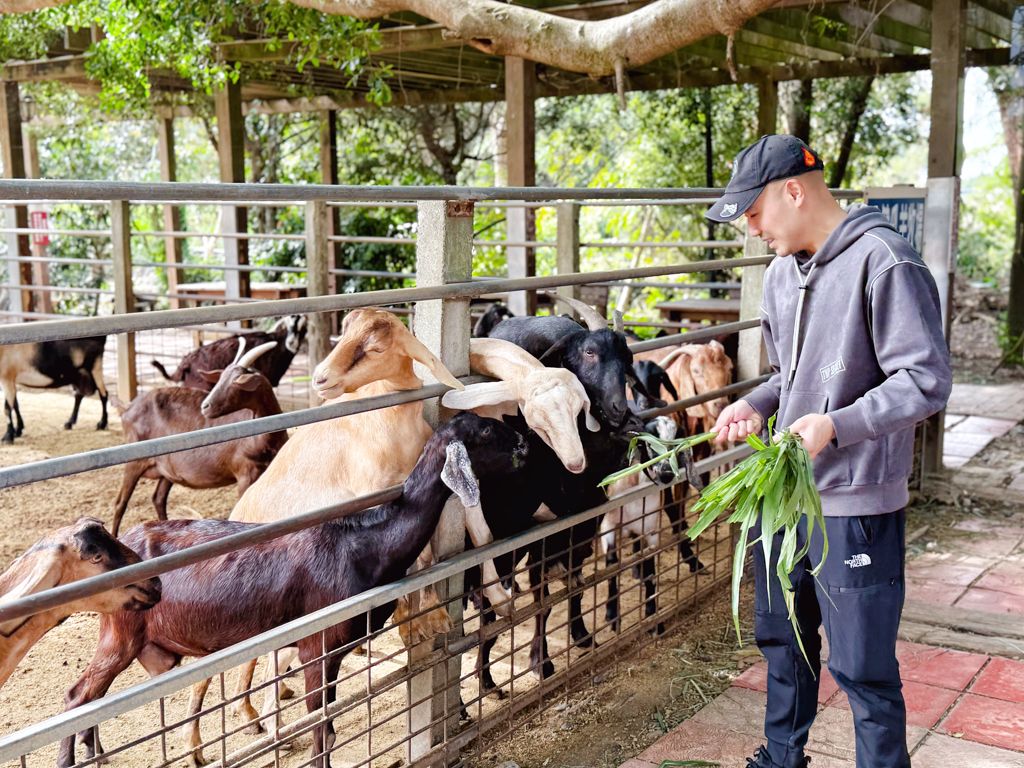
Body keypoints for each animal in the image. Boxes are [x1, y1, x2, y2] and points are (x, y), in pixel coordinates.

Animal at [56, 415, 528, 768]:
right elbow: (322, 728)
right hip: (121, 632)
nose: (525, 444)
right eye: (485, 432)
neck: (362, 544)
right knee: (77, 695)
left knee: (93, 698)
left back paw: (96, 752)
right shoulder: (316, 647)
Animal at [110, 339, 286, 536]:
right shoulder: (246, 471)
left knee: (158, 498)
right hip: (134, 461)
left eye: (236, 381)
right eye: (220, 378)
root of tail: (128, 407)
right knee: (121, 502)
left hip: (166, 470)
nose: (205, 406)